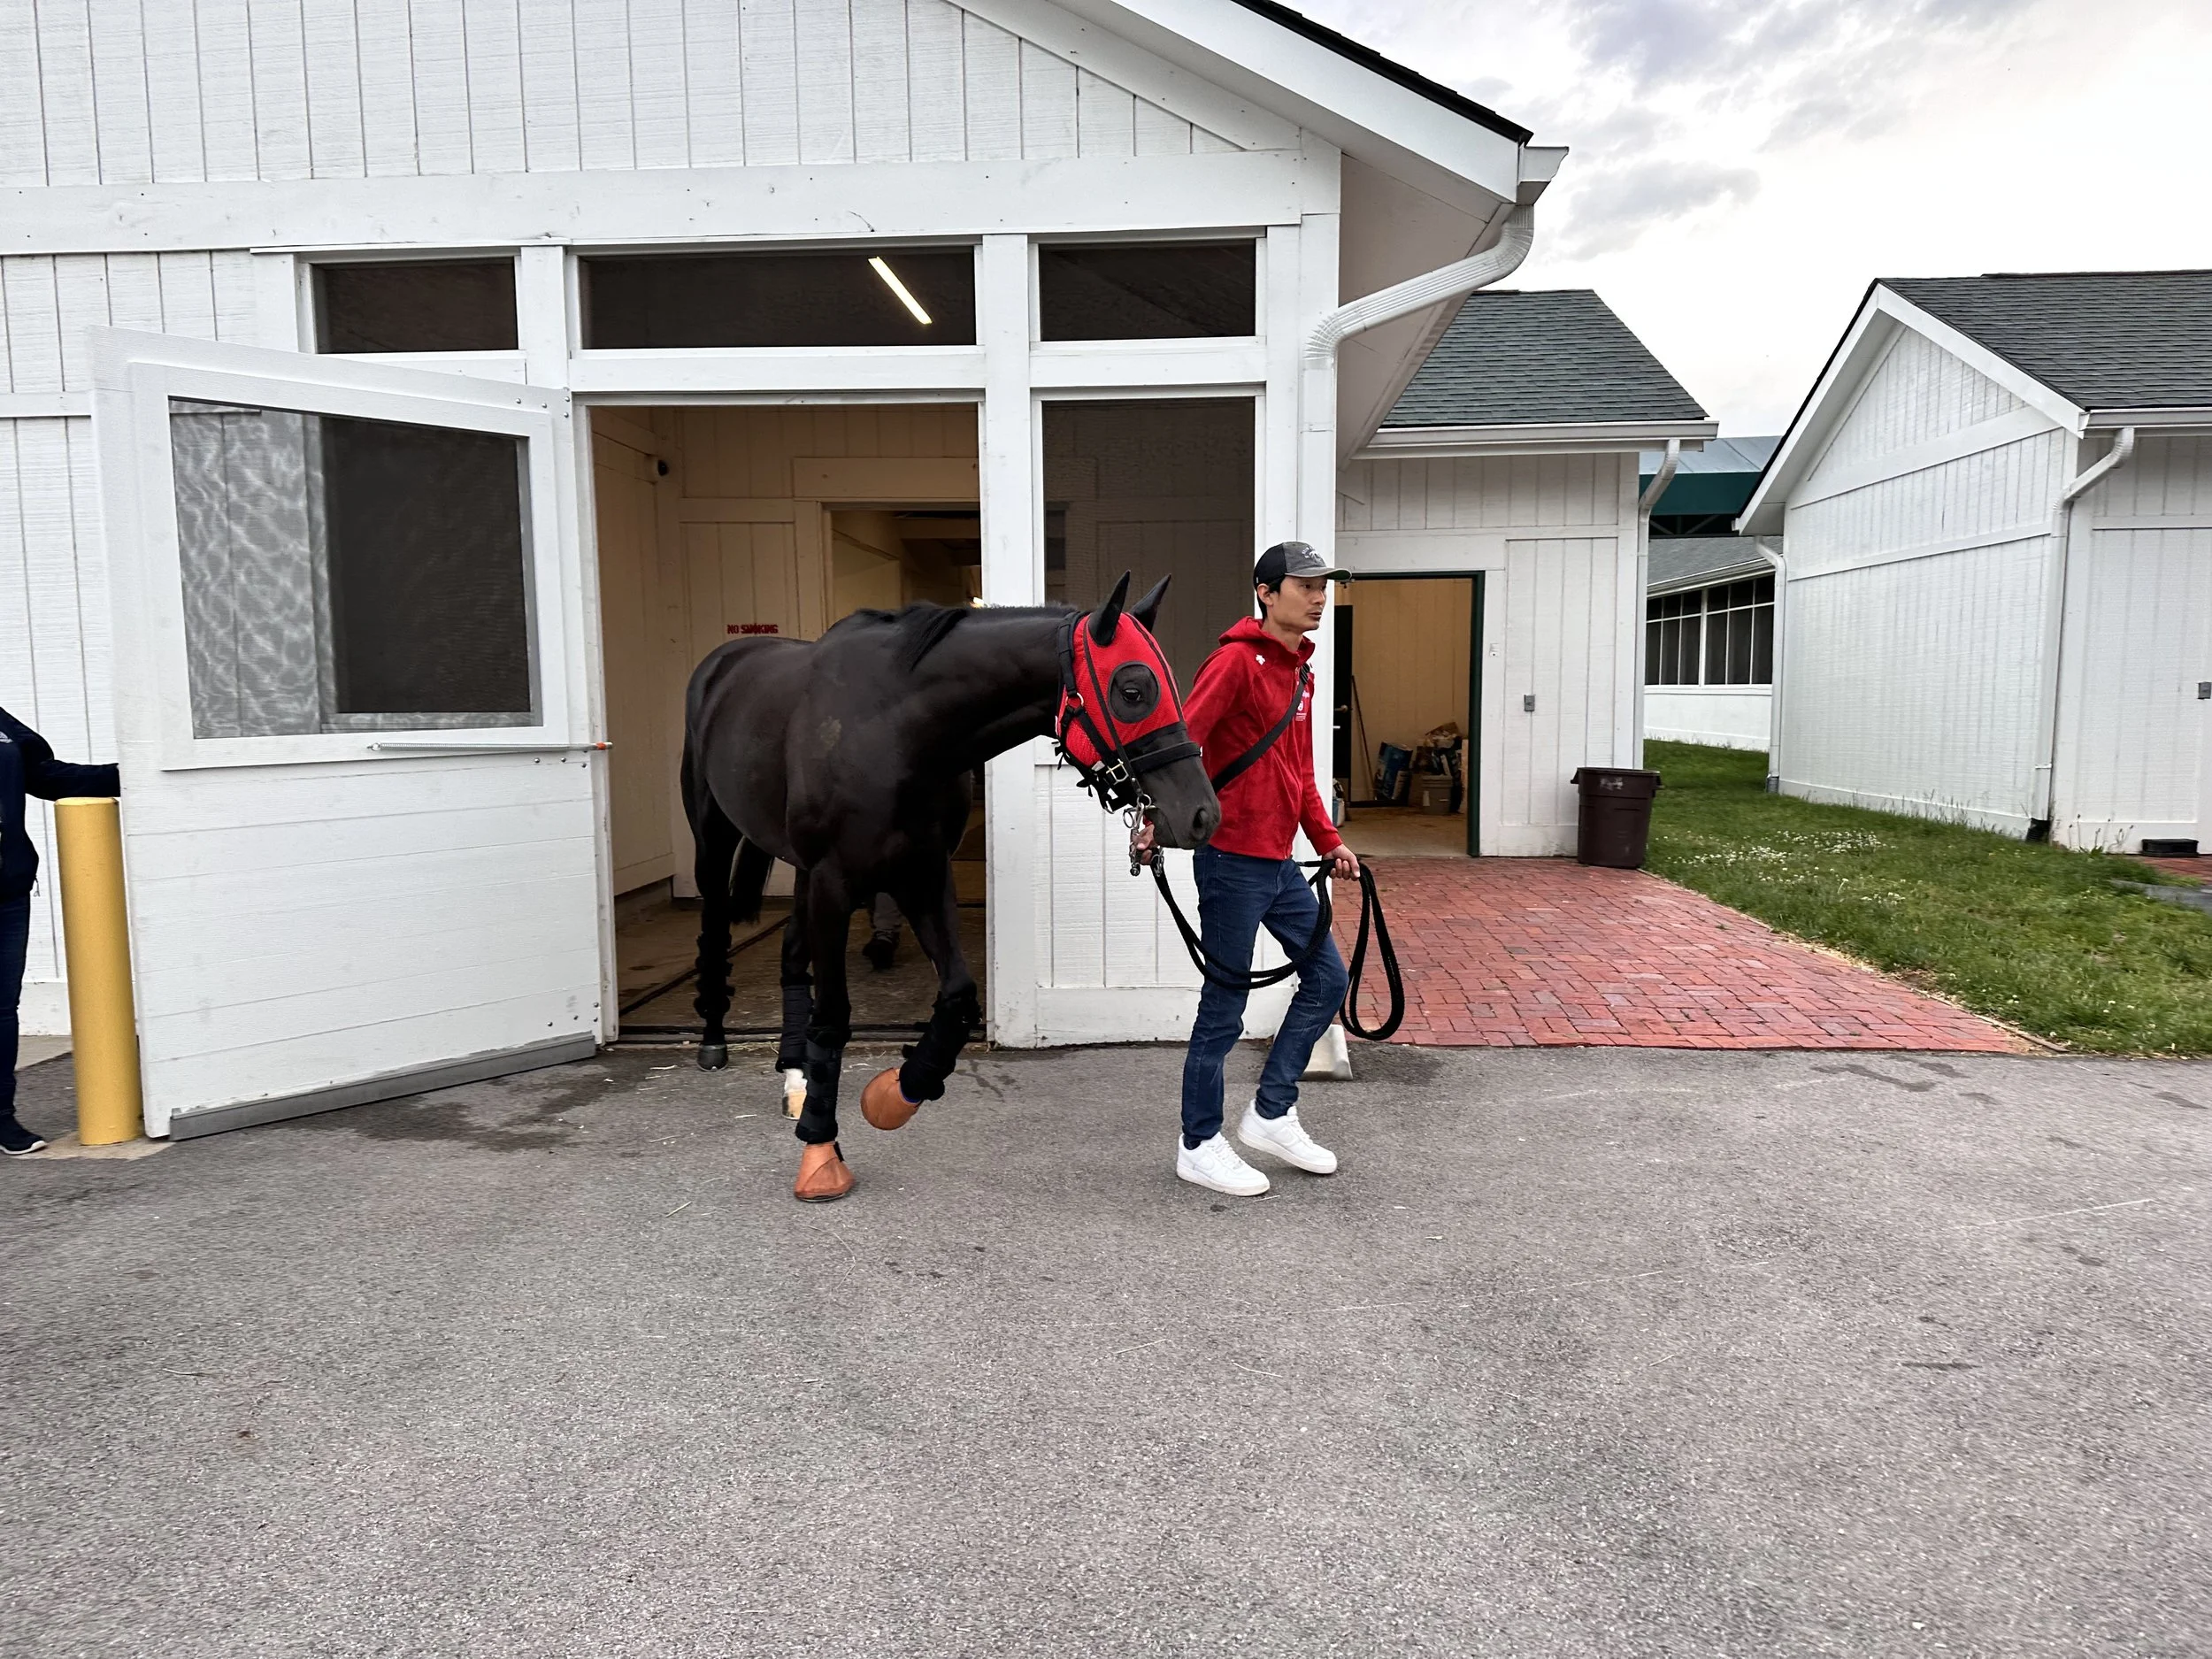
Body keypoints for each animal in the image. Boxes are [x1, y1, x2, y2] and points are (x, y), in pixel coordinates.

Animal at [681, 572, 1221, 1201]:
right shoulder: (837, 881)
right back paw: (716, 1039)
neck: (891, 729)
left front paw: (896, 1093)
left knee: (793, 959)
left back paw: (796, 1077)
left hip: (805, 877)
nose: (1202, 815)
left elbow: (960, 996)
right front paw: (820, 1149)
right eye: (1133, 689)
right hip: (718, 843)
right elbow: (835, 1015)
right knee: (716, 934)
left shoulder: (922, 873)